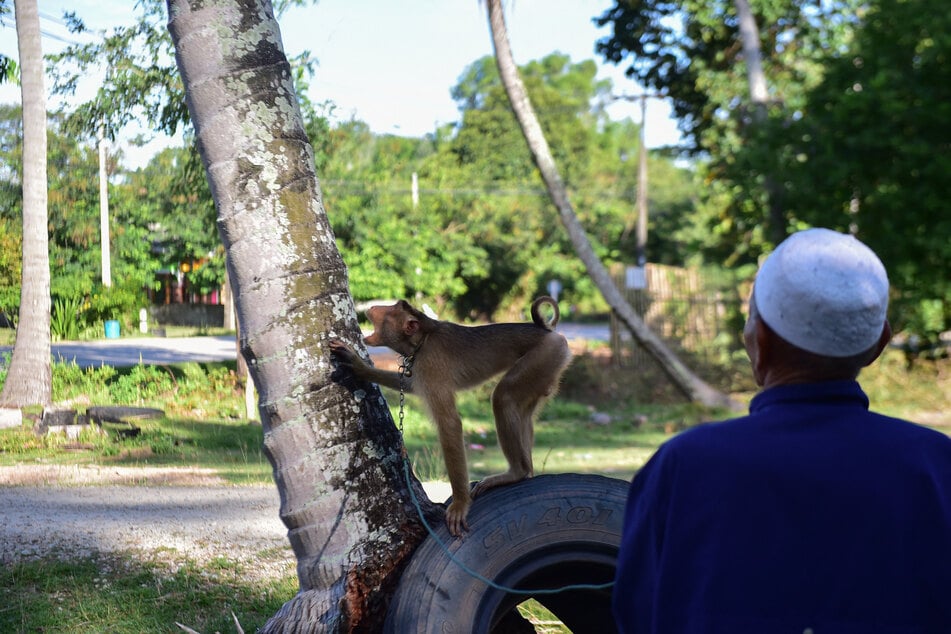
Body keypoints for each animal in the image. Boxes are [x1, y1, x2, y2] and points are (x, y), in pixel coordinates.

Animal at [332, 296, 572, 532]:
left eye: (391, 309)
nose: (373, 307)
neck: (423, 338)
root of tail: (549, 333)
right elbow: (409, 384)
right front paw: (360, 368)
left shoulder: (430, 364)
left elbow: (449, 424)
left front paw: (459, 504)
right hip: (548, 367)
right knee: (523, 412)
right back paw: (527, 472)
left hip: (544, 356)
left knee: (503, 398)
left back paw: (517, 472)